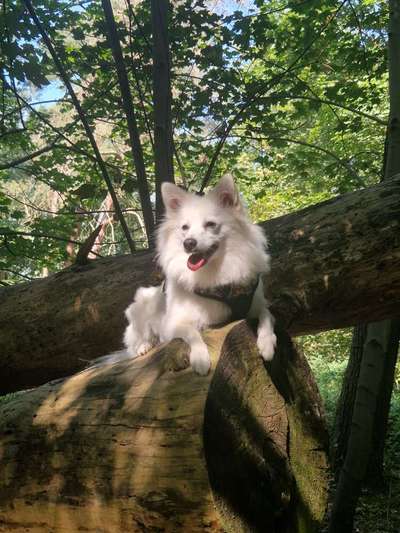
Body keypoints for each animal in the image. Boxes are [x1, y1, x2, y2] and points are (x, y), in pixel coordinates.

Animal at [123, 175, 276, 374]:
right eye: (184, 228)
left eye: (210, 225)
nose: (188, 243)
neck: (217, 270)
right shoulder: (172, 325)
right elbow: (193, 333)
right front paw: (200, 359)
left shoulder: (257, 305)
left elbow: (267, 315)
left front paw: (267, 343)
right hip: (140, 310)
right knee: (136, 340)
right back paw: (144, 346)